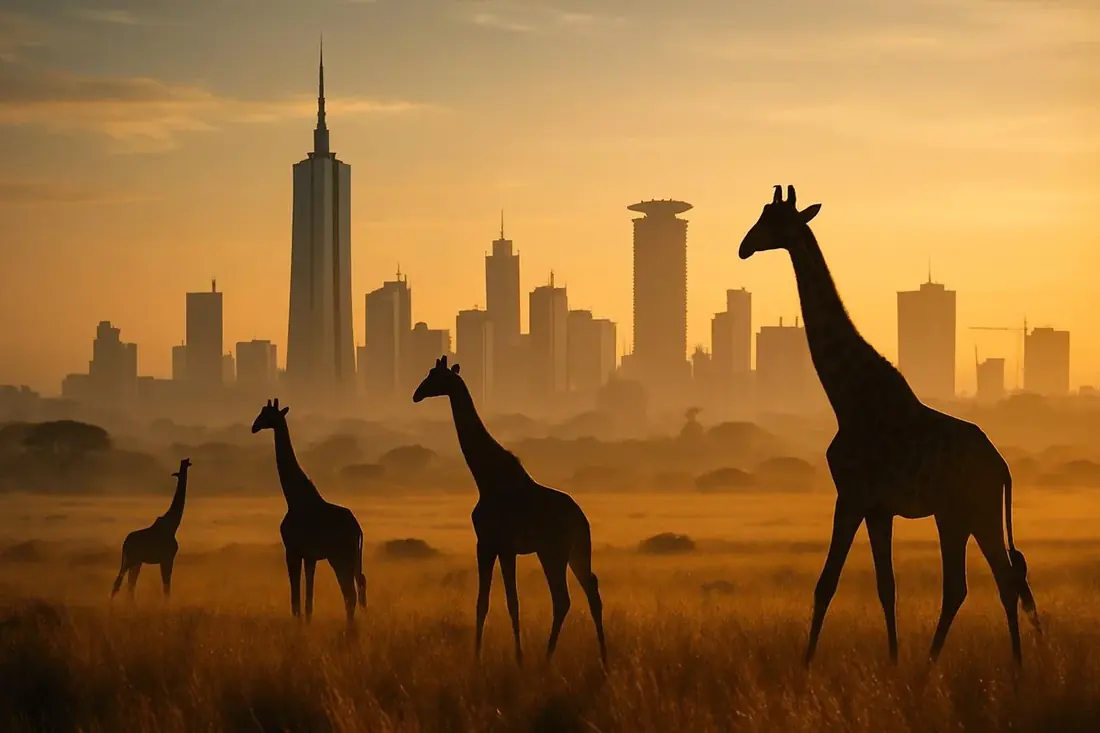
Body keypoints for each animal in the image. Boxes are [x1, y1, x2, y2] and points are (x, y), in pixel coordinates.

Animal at [111, 458, 192, 600]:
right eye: (185, 463)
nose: (188, 460)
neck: (173, 525)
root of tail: (125, 542)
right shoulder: (167, 558)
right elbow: (167, 588)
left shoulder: (165, 559)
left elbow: (166, 587)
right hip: (130, 559)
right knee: (120, 583)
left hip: (136, 561)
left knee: (130, 584)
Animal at [251, 399, 367, 627]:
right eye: (261, 413)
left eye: (268, 415)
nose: (254, 427)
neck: (294, 499)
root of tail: (358, 529)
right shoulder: (310, 556)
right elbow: (308, 599)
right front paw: (306, 623)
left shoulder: (292, 550)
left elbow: (296, 596)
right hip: (351, 557)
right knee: (359, 585)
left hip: (340, 556)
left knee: (350, 593)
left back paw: (349, 630)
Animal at [413, 356, 607, 666]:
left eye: (436, 376)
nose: (416, 394)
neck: (486, 478)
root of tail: (582, 519)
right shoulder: (499, 547)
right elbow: (494, 601)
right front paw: (498, 655)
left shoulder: (491, 544)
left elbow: (501, 601)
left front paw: (507, 657)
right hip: (576, 551)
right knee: (591, 590)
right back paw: (603, 658)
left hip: (553, 552)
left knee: (562, 598)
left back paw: (546, 660)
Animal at [738, 185, 1040, 665]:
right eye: (763, 214)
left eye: (774, 220)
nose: (744, 247)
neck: (848, 399)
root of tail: (1003, 468)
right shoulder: (878, 507)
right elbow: (886, 587)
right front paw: (894, 663)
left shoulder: (851, 495)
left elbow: (826, 583)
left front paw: (804, 668)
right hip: (955, 514)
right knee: (967, 585)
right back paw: (932, 667)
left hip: (980, 509)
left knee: (1004, 579)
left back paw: (1012, 670)